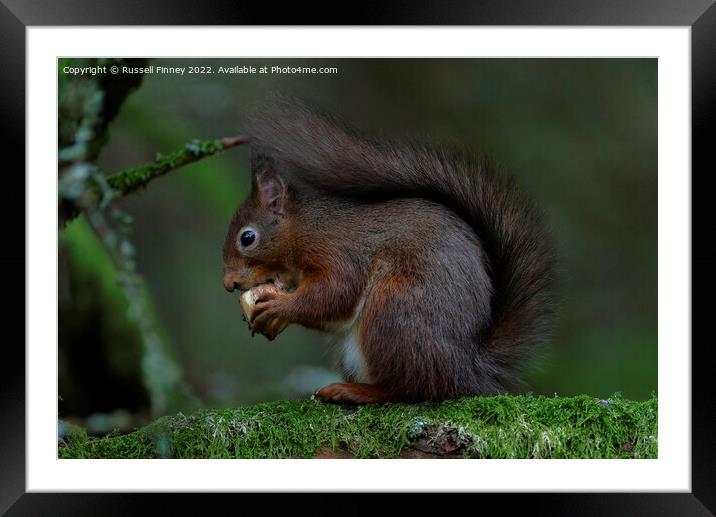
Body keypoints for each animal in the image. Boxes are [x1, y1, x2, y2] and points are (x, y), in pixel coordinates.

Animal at [221, 97, 556, 404]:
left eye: (247, 238)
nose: (229, 284)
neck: (306, 230)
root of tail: (467, 369)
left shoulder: (339, 252)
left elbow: (333, 294)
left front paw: (280, 306)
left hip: (393, 312)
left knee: (408, 389)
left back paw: (354, 391)